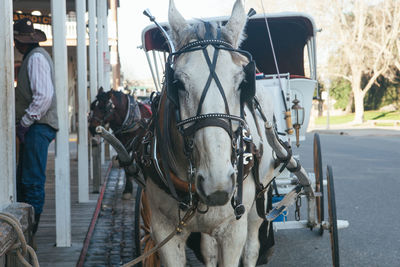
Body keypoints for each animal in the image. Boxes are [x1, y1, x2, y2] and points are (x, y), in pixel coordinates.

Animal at [145, 1, 276, 266]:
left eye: (242, 83)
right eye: (178, 83)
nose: (218, 184)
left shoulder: (233, 231)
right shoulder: (164, 231)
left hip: (260, 198)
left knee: (252, 247)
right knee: (208, 249)